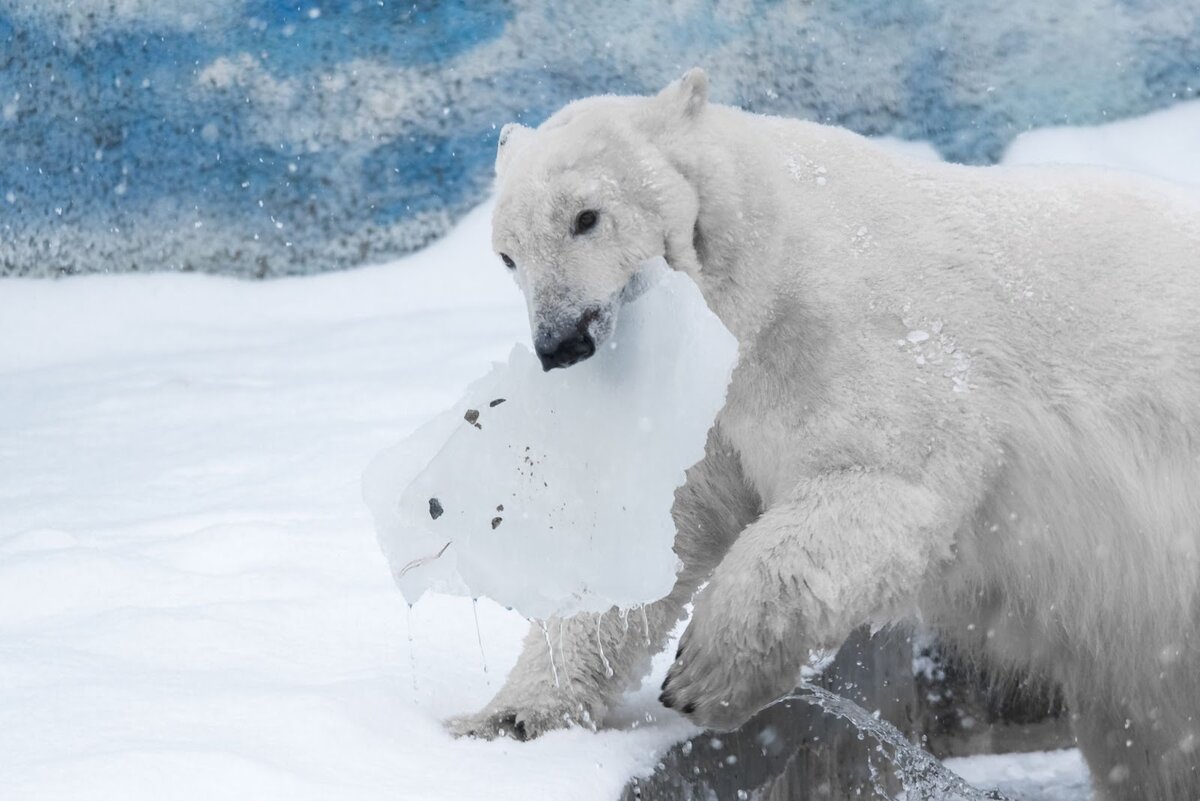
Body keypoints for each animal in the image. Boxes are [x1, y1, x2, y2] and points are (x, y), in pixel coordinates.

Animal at [451, 70, 1200, 801]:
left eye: (586, 218)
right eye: (507, 255)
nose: (560, 342)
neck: (758, 262)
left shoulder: (851, 330)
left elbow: (877, 479)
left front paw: (701, 675)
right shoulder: (704, 400)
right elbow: (657, 526)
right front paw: (506, 718)